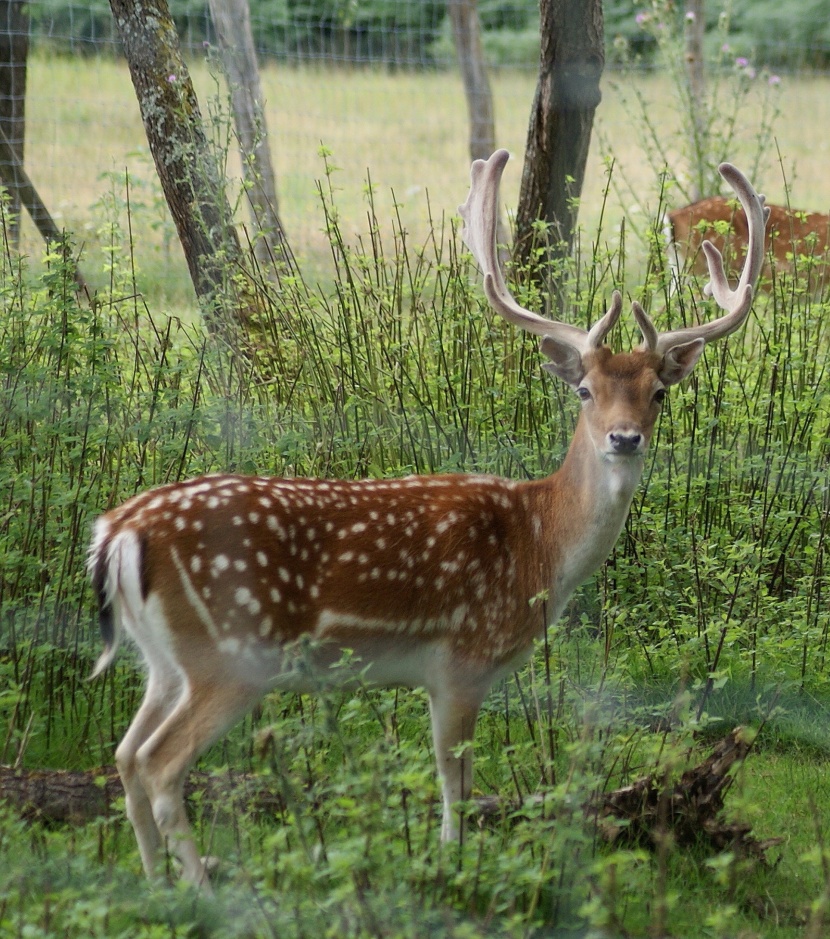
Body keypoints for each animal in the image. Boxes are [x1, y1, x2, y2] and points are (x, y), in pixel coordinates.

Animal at [88, 149, 772, 888]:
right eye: (586, 390)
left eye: (659, 393)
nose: (624, 438)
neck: (539, 545)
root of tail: (118, 532)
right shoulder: (462, 660)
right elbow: (455, 781)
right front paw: (453, 867)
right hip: (231, 652)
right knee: (160, 763)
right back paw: (204, 886)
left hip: (164, 659)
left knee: (125, 754)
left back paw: (157, 883)